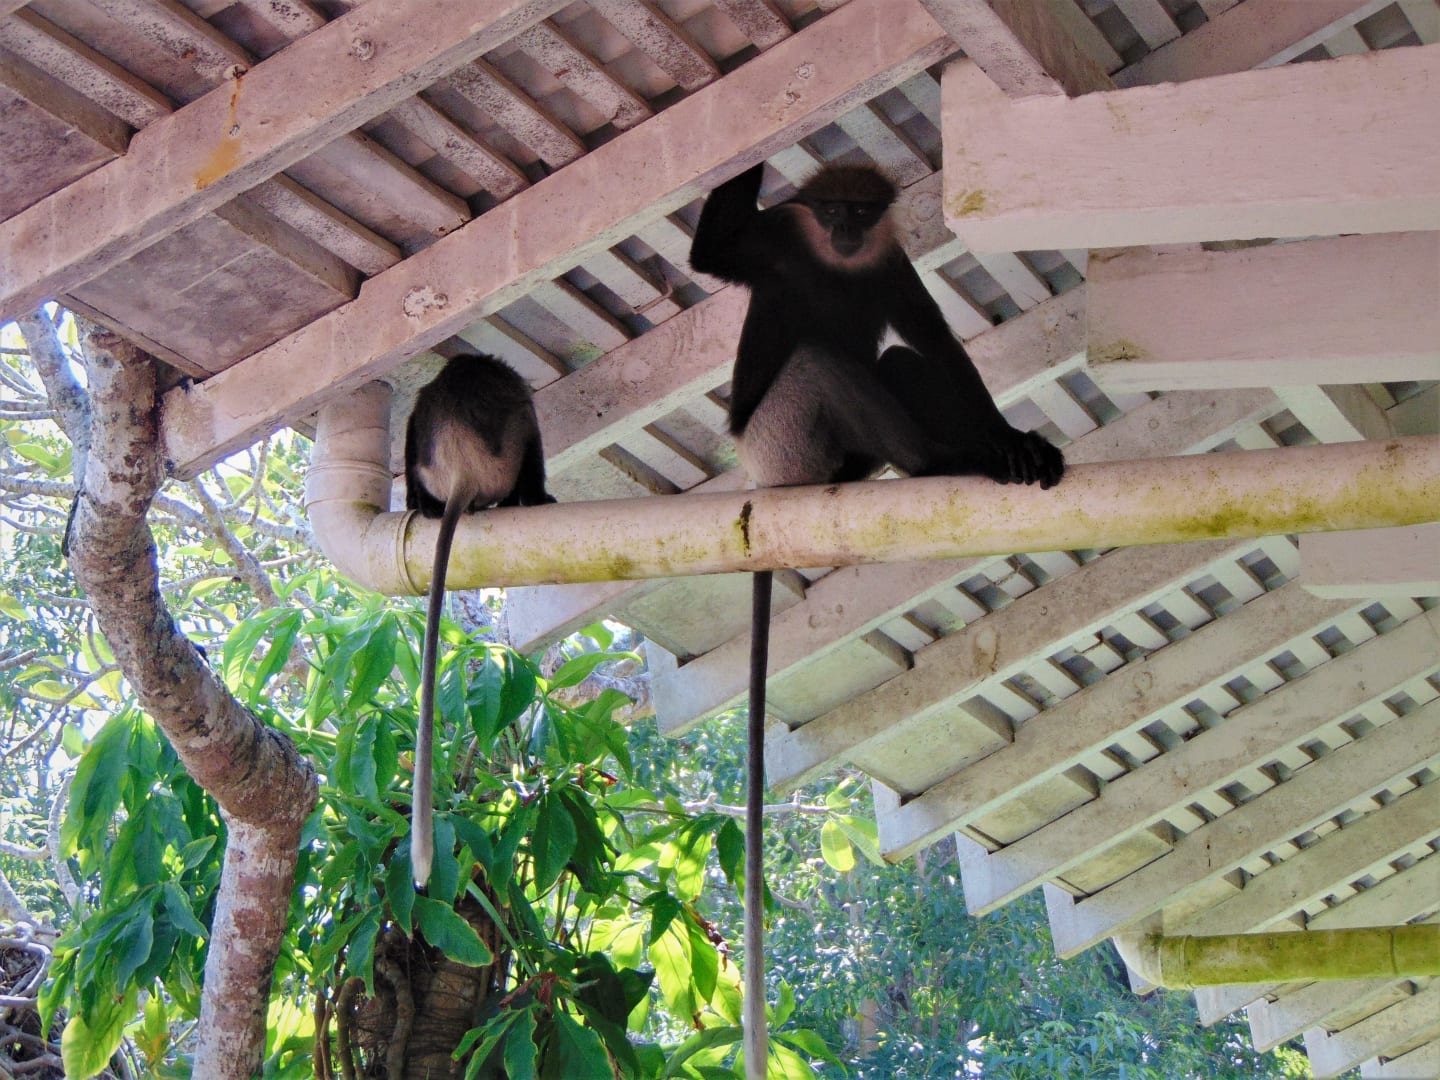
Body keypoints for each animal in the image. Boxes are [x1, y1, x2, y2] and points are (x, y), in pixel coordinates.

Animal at [689, 162, 1064, 1073]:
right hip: (787, 446)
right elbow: (709, 253)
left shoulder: (888, 263)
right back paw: (946, 462)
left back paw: (989, 454)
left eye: (863, 211)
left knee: (898, 360)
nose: (846, 228)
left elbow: (939, 344)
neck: (838, 259)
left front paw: (1006, 433)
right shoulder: (774, 242)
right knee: (825, 364)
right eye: (828, 209)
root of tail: (763, 483)